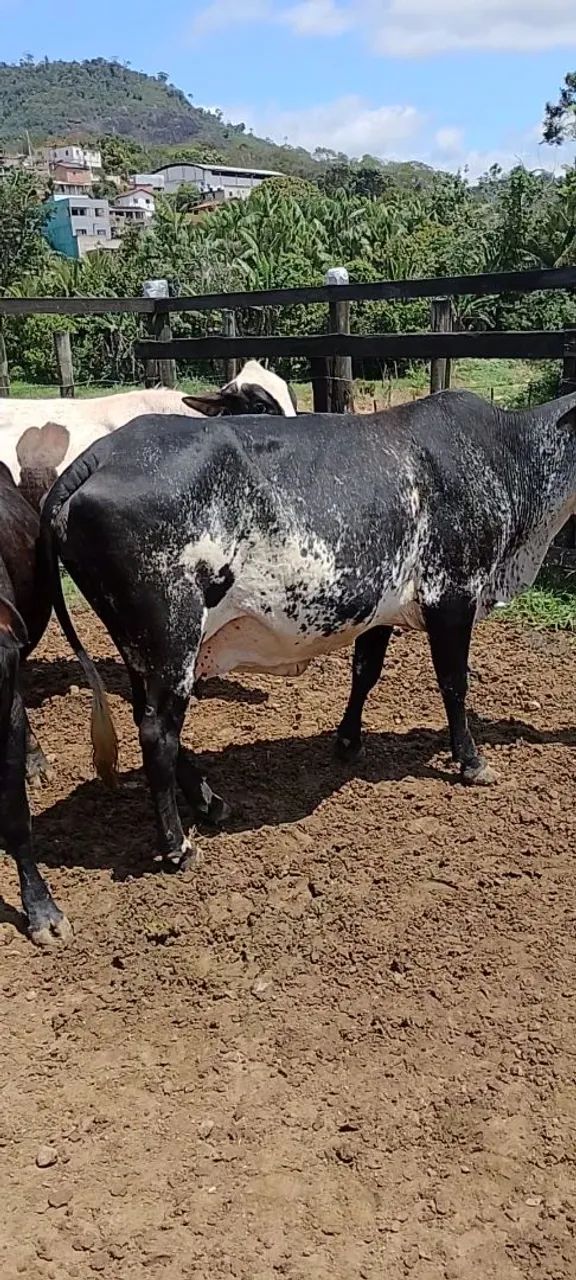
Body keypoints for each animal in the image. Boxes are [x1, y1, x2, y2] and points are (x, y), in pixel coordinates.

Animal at [40, 389, 576, 873]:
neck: (507, 455)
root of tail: (98, 455)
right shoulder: (452, 595)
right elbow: (454, 684)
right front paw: (472, 762)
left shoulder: (380, 605)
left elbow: (365, 672)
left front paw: (348, 741)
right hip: (172, 638)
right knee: (157, 734)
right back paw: (178, 846)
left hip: (142, 649)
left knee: (149, 720)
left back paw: (211, 803)